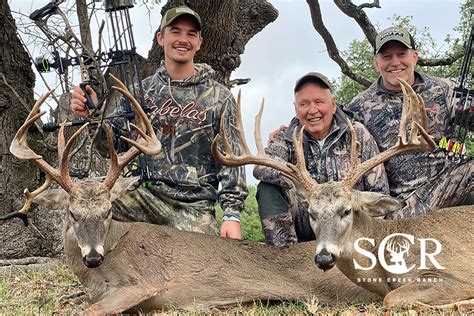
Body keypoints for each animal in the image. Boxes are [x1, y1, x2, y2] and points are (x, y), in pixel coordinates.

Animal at [2, 75, 382, 314]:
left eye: (108, 211)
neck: (99, 271)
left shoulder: (142, 284)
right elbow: (67, 301)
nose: (93, 257)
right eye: (72, 214)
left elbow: (84, 310)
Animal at [213, 78, 472, 308]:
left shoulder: (455, 274)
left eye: (346, 210)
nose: (324, 258)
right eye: (312, 212)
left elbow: (391, 299)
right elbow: (390, 297)